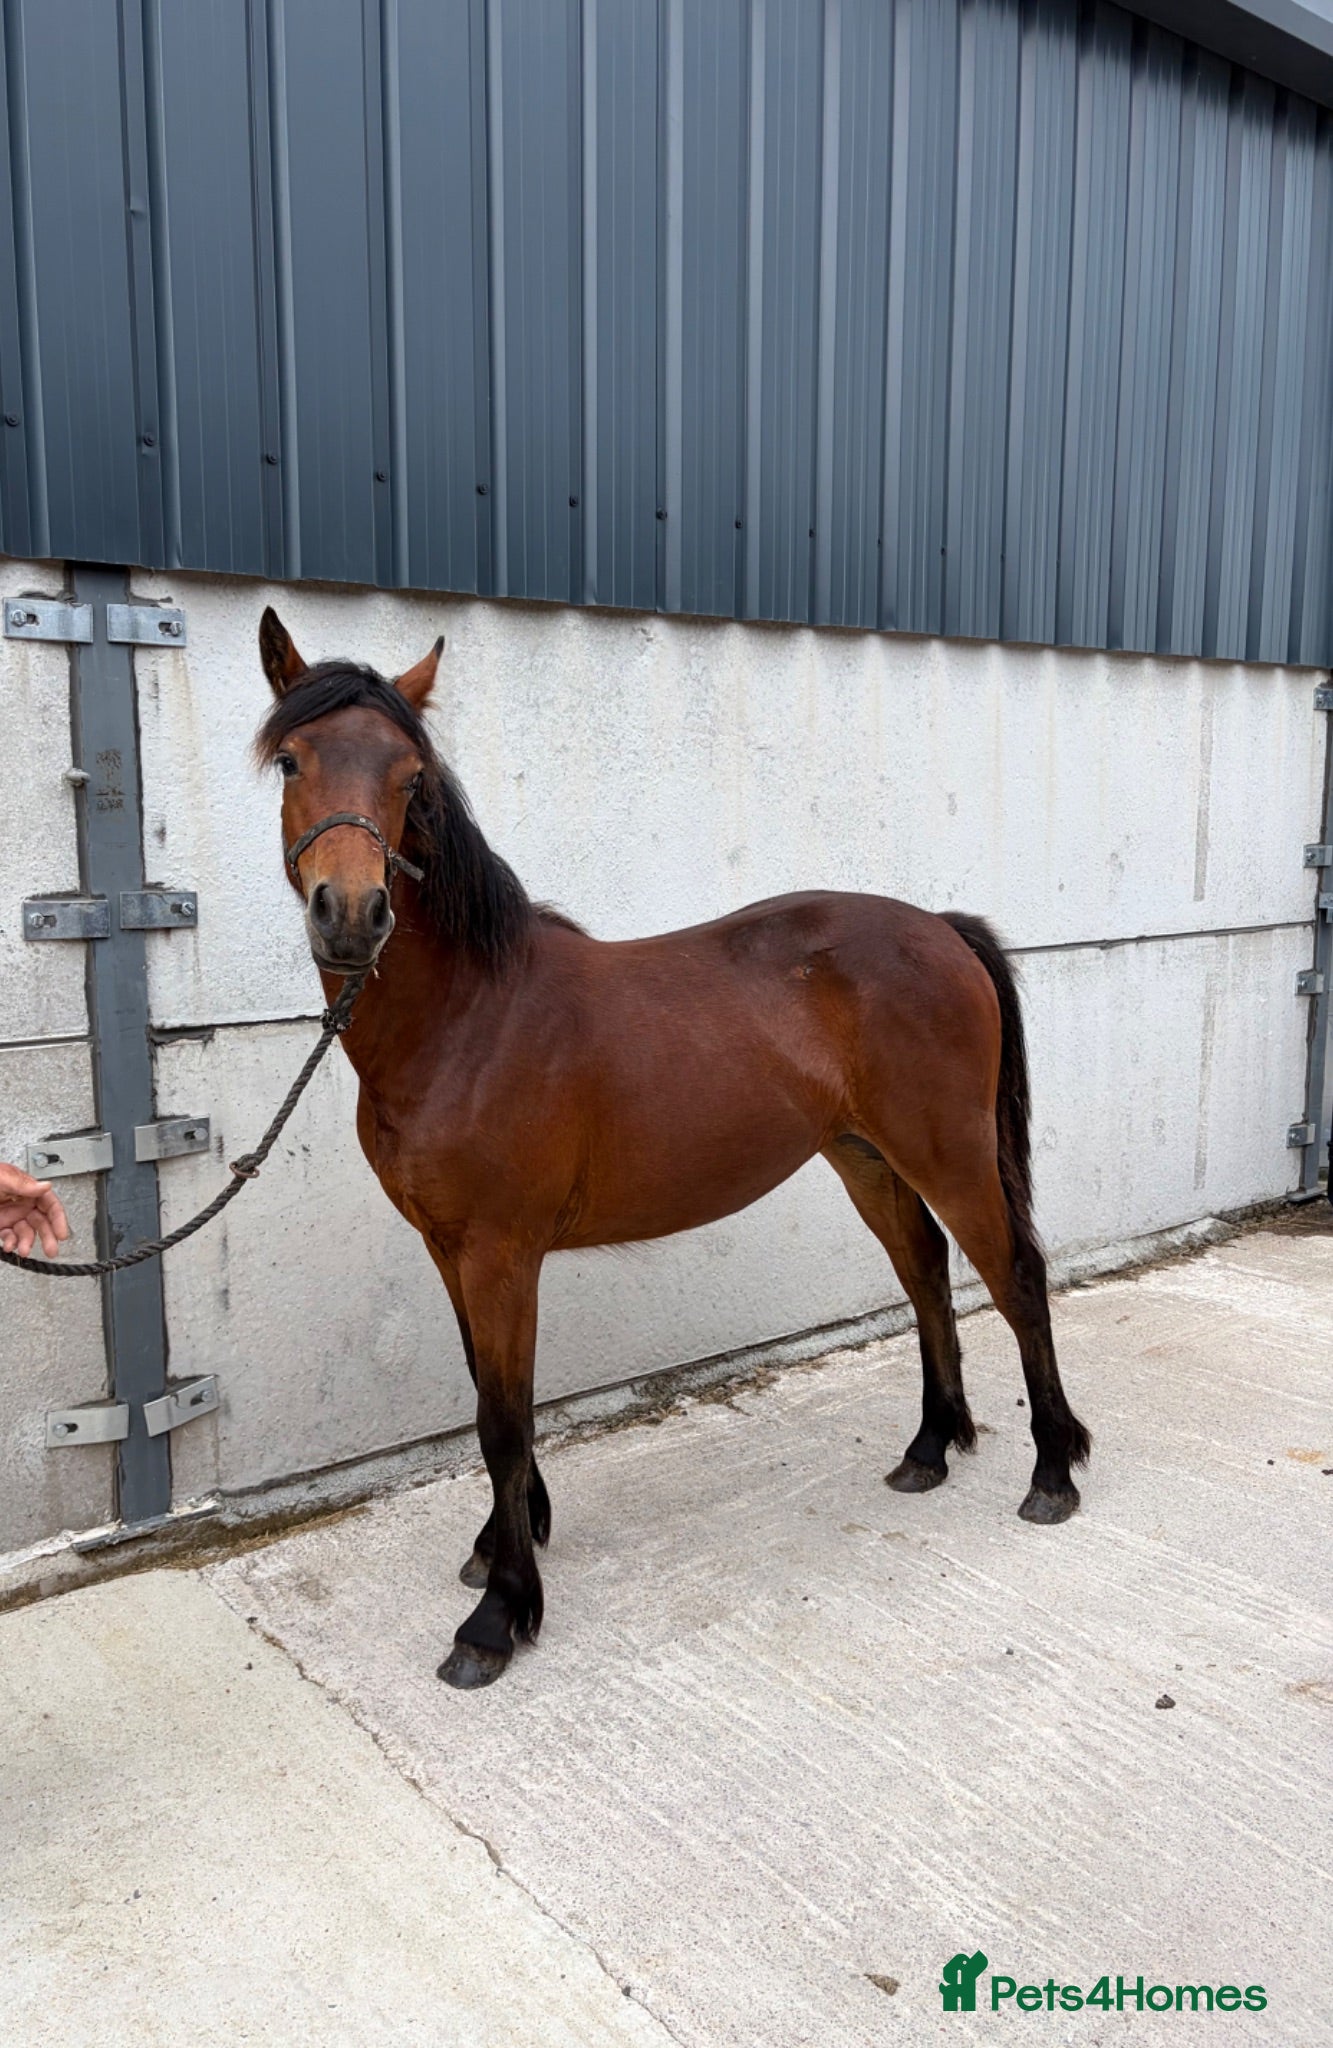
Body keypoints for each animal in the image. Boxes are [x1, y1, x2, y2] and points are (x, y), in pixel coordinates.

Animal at [255, 608, 1091, 1689]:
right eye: (291, 761)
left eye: (409, 776)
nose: (353, 915)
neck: (466, 1017)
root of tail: (941, 930)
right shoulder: (449, 1249)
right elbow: (487, 1394)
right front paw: (501, 1543)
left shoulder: (500, 1253)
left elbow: (503, 1418)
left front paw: (498, 1613)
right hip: (864, 1156)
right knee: (926, 1276)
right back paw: (929, 1448)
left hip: (945, 1153)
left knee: (1014, 1276)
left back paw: (1052, 1470)